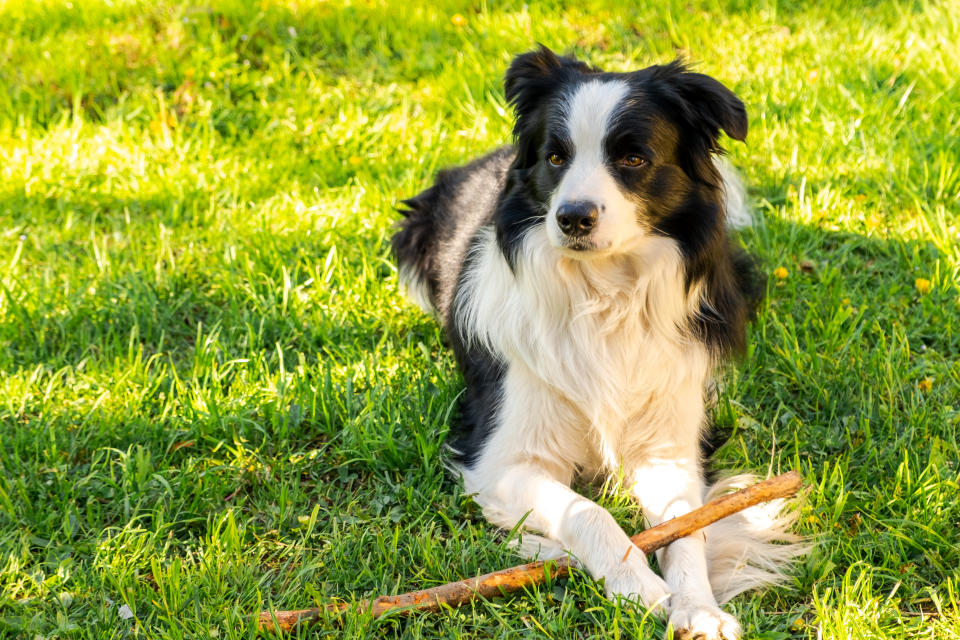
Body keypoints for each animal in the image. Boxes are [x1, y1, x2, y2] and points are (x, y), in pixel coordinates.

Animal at [390, 47, 804, 636]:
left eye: (633, 158)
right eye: (555, 157)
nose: (572, 217)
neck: (603, 293)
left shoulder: (668, 446)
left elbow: (686, 525)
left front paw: (698, 606)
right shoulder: (502, 459)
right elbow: (588, 511)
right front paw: (639, 587)